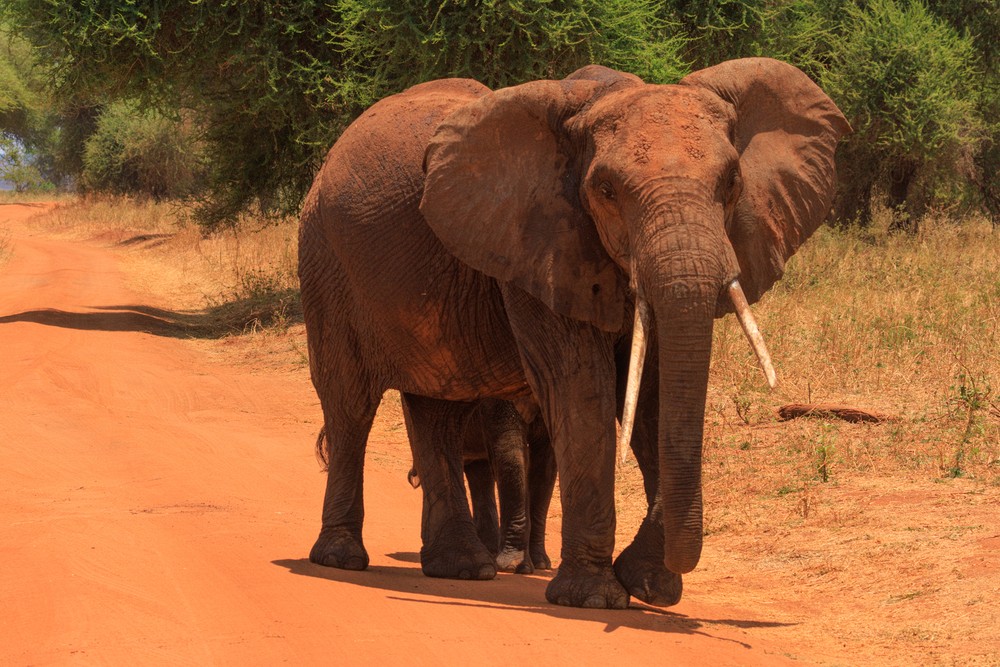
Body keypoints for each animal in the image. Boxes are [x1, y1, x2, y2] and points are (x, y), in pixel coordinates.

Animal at [405, 398, 555, 574]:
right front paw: (514, 567)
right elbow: (510, 452)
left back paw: (490, 552)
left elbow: (545, 468)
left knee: (480, 471)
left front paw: (540, 565)